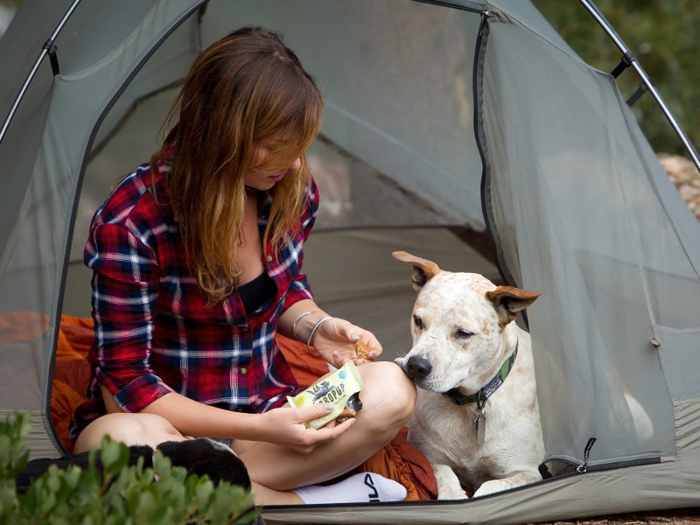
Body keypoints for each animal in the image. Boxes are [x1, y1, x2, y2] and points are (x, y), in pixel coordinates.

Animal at [392, 252, 544, 498]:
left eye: (463, 333)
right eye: (418, 321)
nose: (415, 366)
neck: (468, 405)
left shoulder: (525, 472)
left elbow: (489, 488)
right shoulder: (426, 455)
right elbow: (444, 476)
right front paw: (452, 494)